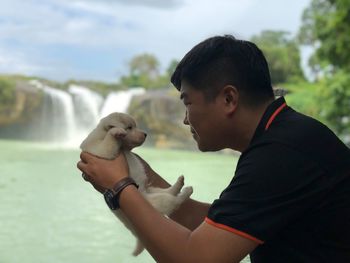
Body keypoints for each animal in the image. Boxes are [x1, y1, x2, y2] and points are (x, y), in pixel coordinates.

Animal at [79, 112, 193, 256]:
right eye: (129, 127)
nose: (145, 134)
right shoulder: (102, 152)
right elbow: (108, 143)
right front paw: (116, 132)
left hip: (152, 190)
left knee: (171, 192)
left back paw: (180, 184)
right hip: (157, 200)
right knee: (175, 201)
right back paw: (186, 190)